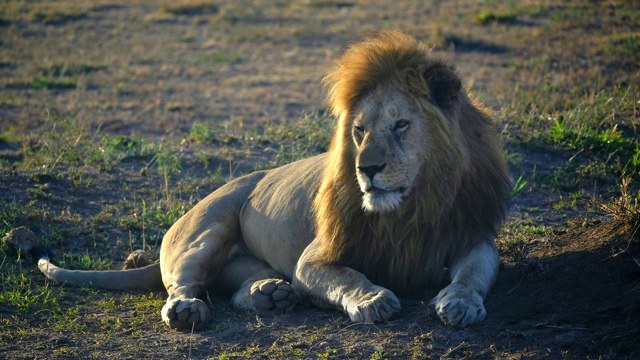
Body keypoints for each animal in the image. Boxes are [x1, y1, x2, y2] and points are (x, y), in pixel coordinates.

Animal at [31, 31, 510, 330]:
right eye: (359, 131)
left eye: (401, 125)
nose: (366, 169)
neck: (410, 210)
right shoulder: (314, 259)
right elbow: (348, 276)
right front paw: (374, 300)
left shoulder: (471, 235)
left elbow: (473, 272)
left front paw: (460, 303)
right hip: (206, 230)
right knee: (181, 284)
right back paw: (188, 311)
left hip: (244, 261)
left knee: (237, 288)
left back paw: (269, 295)